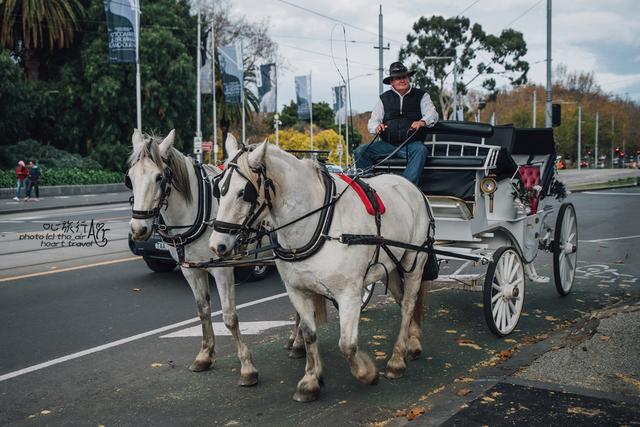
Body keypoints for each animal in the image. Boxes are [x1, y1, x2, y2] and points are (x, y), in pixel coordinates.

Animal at [126, 129, 258, 386]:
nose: (139, 229)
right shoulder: (191, 268)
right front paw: (205, 356)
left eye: (159, 177)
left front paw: (247, 367)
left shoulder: (222, 269)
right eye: (130, 178)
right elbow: (202, 310)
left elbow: (230, 317)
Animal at [208, 139, 432, 402]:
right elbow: (309, 334)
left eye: (244, 192)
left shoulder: (349, 294)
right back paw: (412, 342)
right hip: (392, 265)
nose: (217, 245)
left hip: (414, 261)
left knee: (408, 304)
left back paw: (397, 360)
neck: (318, 222)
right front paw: (310, 381)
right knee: (402, 298)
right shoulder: (297, 290)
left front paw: (367, 373)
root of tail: (409, 185)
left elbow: (347, 345)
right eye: (218, 189)